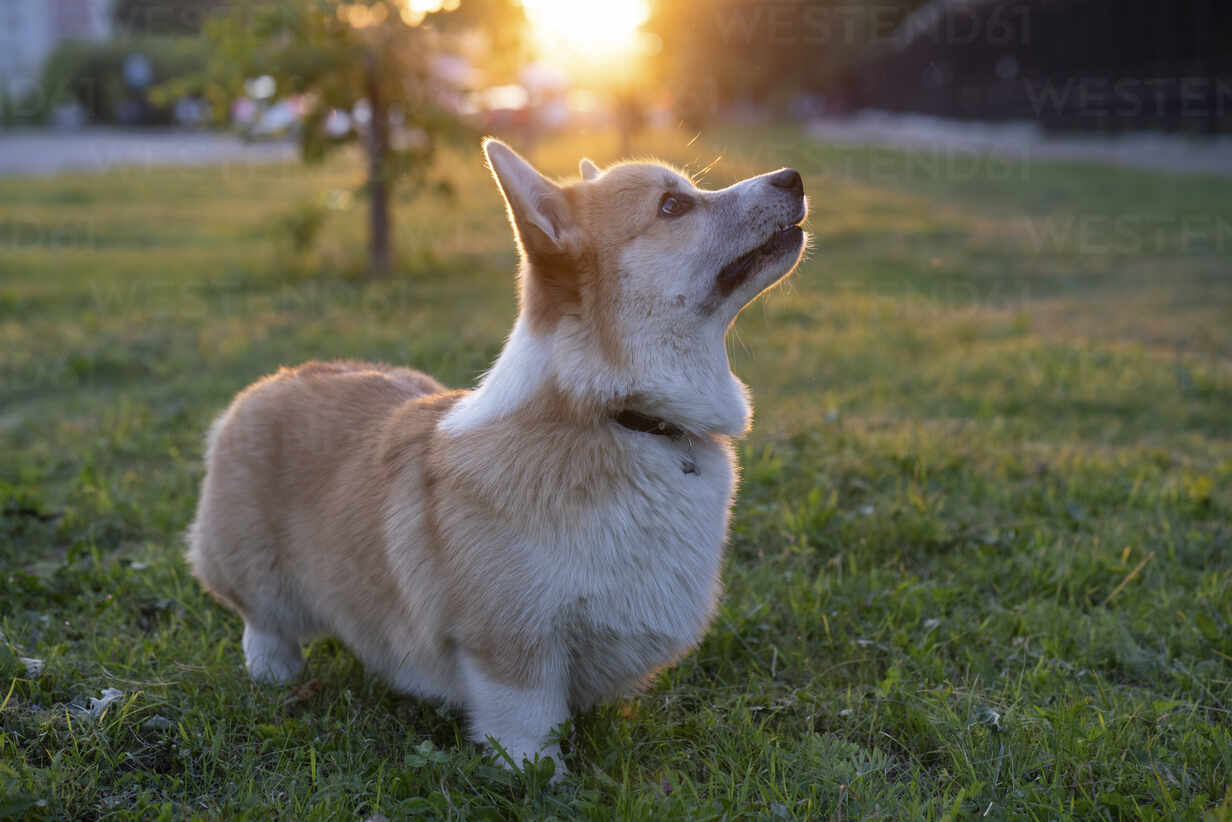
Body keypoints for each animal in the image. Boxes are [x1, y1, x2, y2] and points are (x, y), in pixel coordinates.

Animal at [184, 138, 808, 773]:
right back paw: (274, 672)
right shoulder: (512, 643)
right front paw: (544, 779)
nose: (793, 177)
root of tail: (277, 378)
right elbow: (530, 729)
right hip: (251, 566)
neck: (621, 416)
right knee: (262, 622)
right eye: (673, 206)